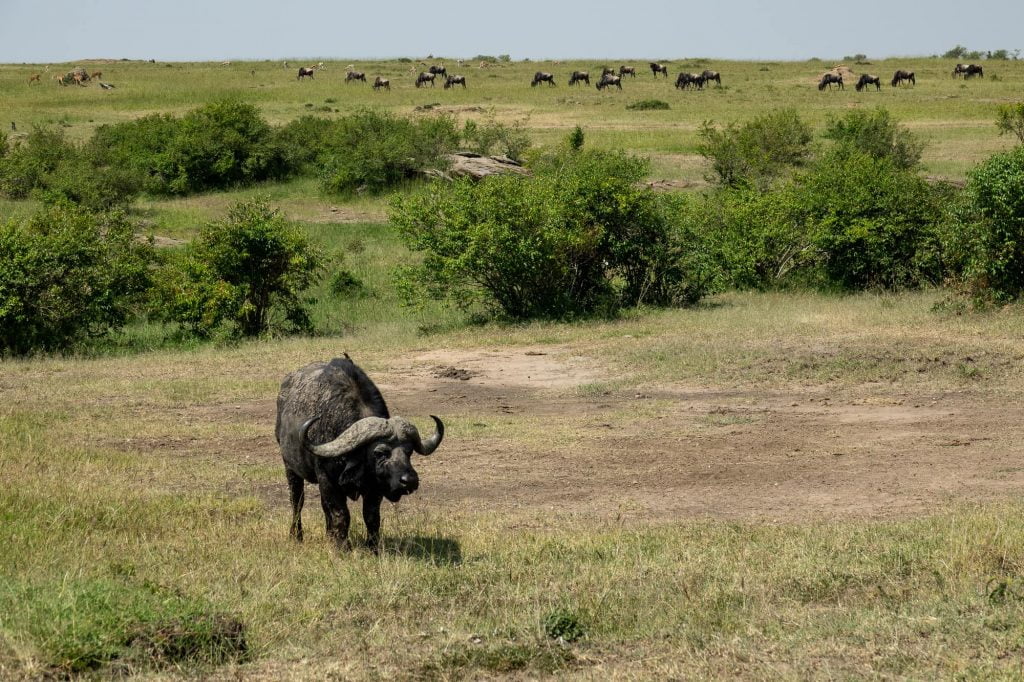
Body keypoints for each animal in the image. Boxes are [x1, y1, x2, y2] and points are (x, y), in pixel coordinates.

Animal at [276, 356, 444, 552]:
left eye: (409, 451)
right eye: (379, 453)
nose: (409, 481)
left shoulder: (375, 487)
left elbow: (371, 517)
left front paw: (372, 547)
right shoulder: (327, 481)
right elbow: (341, 514)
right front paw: (342, 546)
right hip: (290, 467)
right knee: (297, 502)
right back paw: (297, 535)